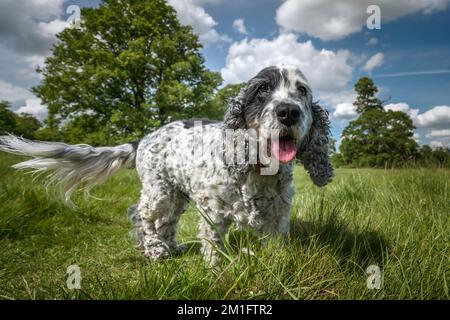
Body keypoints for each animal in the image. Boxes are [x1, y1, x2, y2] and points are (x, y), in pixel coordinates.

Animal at [0, 64, 332, 262]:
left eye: (301, 91)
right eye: (262, 90)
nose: (288, 112)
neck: (258, 170)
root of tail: (145, 137)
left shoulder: (279, 214)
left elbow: (277, 245)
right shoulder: (213, 211)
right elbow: (213, 243)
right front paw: (216, 269)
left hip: (177, 194)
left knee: (167, 224)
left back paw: (173, 247)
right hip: (158, 191)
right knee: (142, 215)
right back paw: (155, 250)